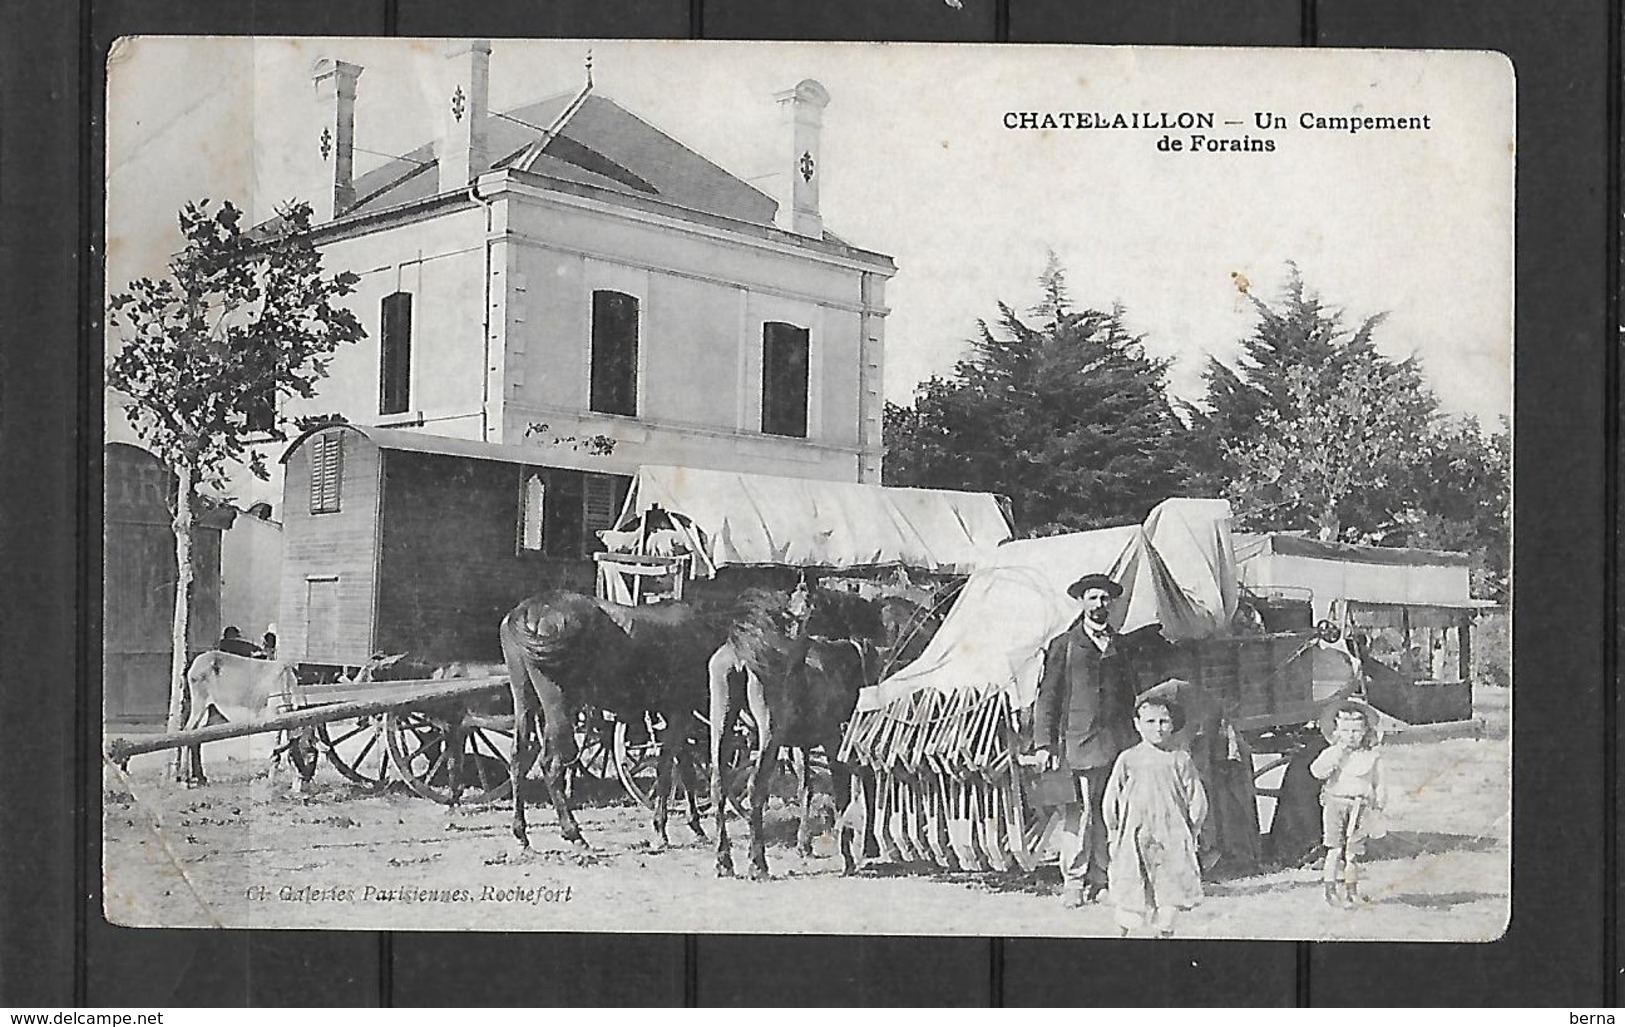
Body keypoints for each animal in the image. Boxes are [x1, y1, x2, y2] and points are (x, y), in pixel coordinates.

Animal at [487, 588, 718, 851]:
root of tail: (529, 609)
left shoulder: (676, 715)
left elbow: (684, 768)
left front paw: (695, 826)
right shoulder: (679, 711)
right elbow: (667, 767)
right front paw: (661, 827)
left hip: (525, 701)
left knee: (518, 758)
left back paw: (521, 833)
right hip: (559, 707)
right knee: (551, 765)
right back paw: (573, 832)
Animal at [708, 581, 890, 877]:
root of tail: (740, 655)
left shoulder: (799, 746)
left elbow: (807, 788)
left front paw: (804, 844)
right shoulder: (833, 741)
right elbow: (844, 792)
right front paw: (850, 856)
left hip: (721, 728)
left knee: (719, 786)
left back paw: (724, 861)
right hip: (768, 737)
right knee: (755, 787)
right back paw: (758, 863)